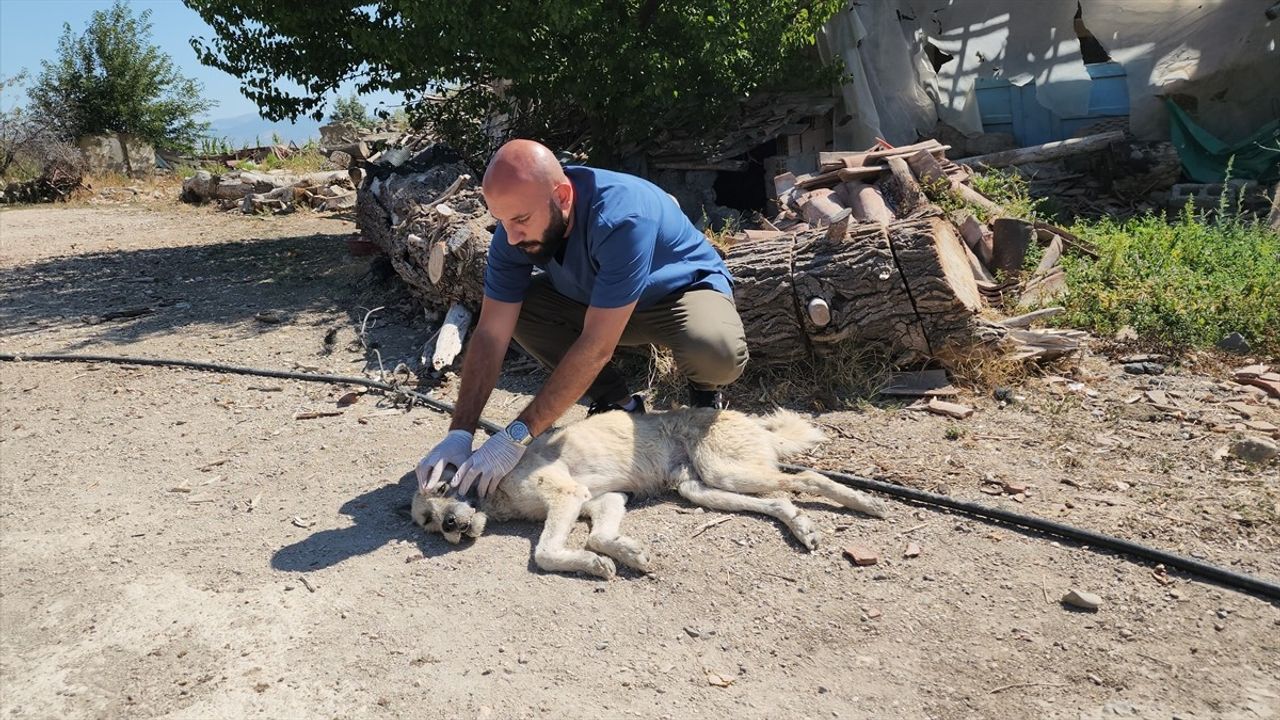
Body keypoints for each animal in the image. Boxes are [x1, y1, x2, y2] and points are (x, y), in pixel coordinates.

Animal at [412, 407, 890, 573]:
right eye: (428, 523)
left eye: (444, 486)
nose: (450, 525)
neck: (496, 497)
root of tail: (751, 421)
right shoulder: (603, 500)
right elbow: (599, 536)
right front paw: (623, 554)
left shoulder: (568, 497)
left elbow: (546, 552)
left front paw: (591, 563)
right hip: (703, 488)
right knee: (777, 500)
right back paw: (800, 526)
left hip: (725, 470)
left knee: (808, 477)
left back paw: (865, 501)